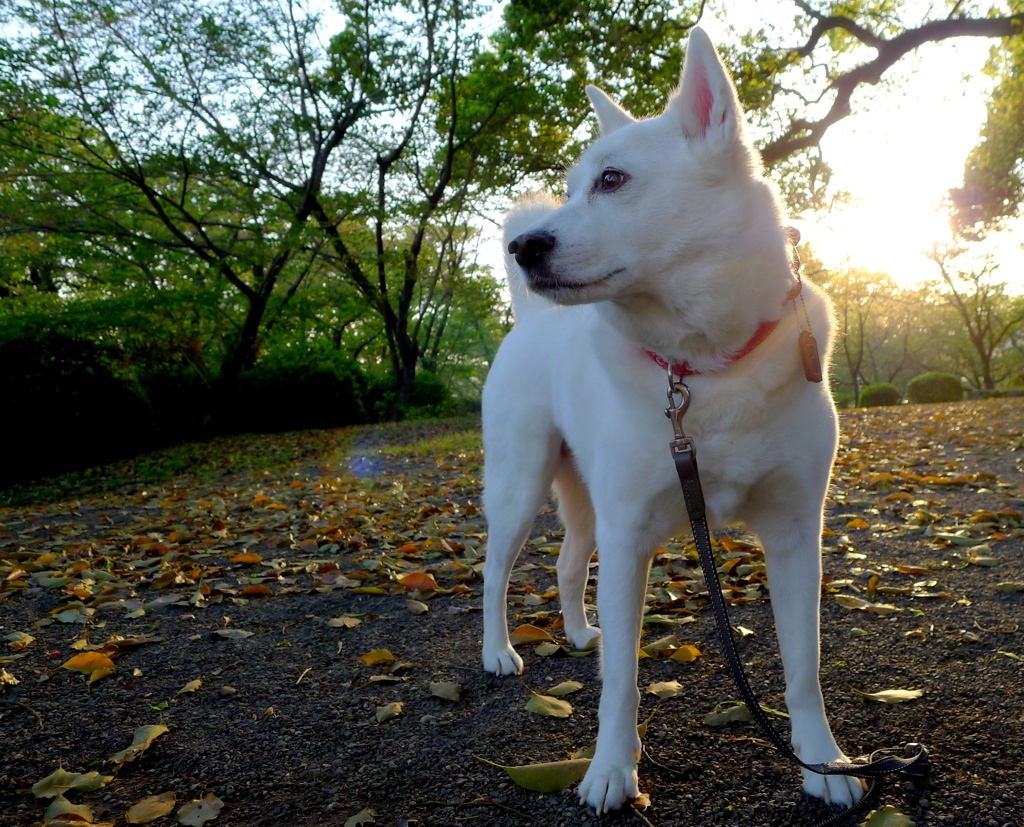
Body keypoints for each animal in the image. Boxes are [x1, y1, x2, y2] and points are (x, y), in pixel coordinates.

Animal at [479, 25, 864, 814]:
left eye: (612, 180)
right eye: (573, 187)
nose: (523, 247)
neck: (704, 368)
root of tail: (529, 319)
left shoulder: (794, 533)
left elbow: (803, 670)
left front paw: (822, 763)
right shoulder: (630, 537)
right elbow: (621, 686)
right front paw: (609, 772)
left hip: (583, 500)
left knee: (567, 563)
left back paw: (578, 631)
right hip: (520, 489)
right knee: (494, 573)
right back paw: (497, 651)